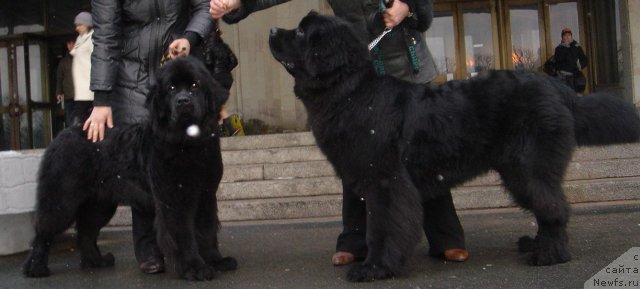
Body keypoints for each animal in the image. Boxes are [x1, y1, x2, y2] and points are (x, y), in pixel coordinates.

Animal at [22, 55, 239, 280]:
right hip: (62, 199)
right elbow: (183, 234)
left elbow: (207, 230)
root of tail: (62, 135)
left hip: (100, 203)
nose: (183, 101)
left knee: (86, 230)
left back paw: (96, 261)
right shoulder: (174, 197)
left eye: (195, 85)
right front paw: (195, 268)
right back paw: (36, 268)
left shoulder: (206, 194)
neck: (188, 144)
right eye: (171, 88)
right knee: (44, 232)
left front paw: (217, 260)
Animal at [268, 12, 640, 282]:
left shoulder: (386, 182)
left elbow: (383, 226)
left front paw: (375, 268)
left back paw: (548, 255)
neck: (349, 90)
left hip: (527, 168)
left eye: (300, 33)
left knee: (553, 208)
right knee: (549, 206)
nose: (271, 29)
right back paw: (535, 244)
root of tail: (560, 90)